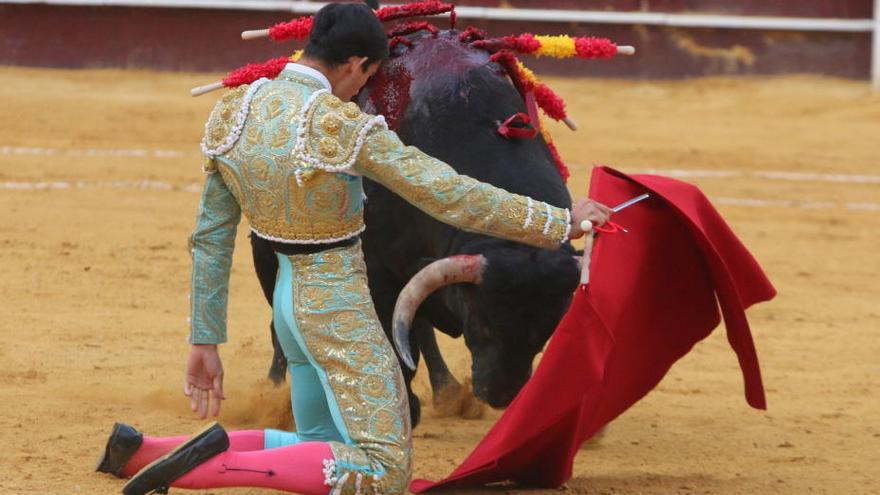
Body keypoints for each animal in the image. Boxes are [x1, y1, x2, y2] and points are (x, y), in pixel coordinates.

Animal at [249, 31, 576, 426]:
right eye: (482, 323)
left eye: (546, 333)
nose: (501, 396)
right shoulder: (378, 270)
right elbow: (392, 336)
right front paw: (404, 406)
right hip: (265, 250)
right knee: (278, 317)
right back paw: (275, 392)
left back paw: (448, 390)